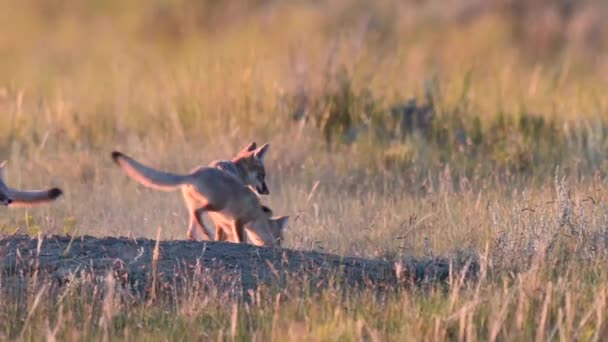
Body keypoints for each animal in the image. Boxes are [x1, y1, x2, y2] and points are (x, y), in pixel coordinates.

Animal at [111, 146, 284, 247]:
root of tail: (193, 174)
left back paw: (199, 237)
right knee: (198, 214)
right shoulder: (232, 215)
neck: (236, 169)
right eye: (262, 175)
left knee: (192, 228)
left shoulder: (225, 217)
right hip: (216, 204)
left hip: (199, 207)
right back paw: (207, 234)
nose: (267, 191)